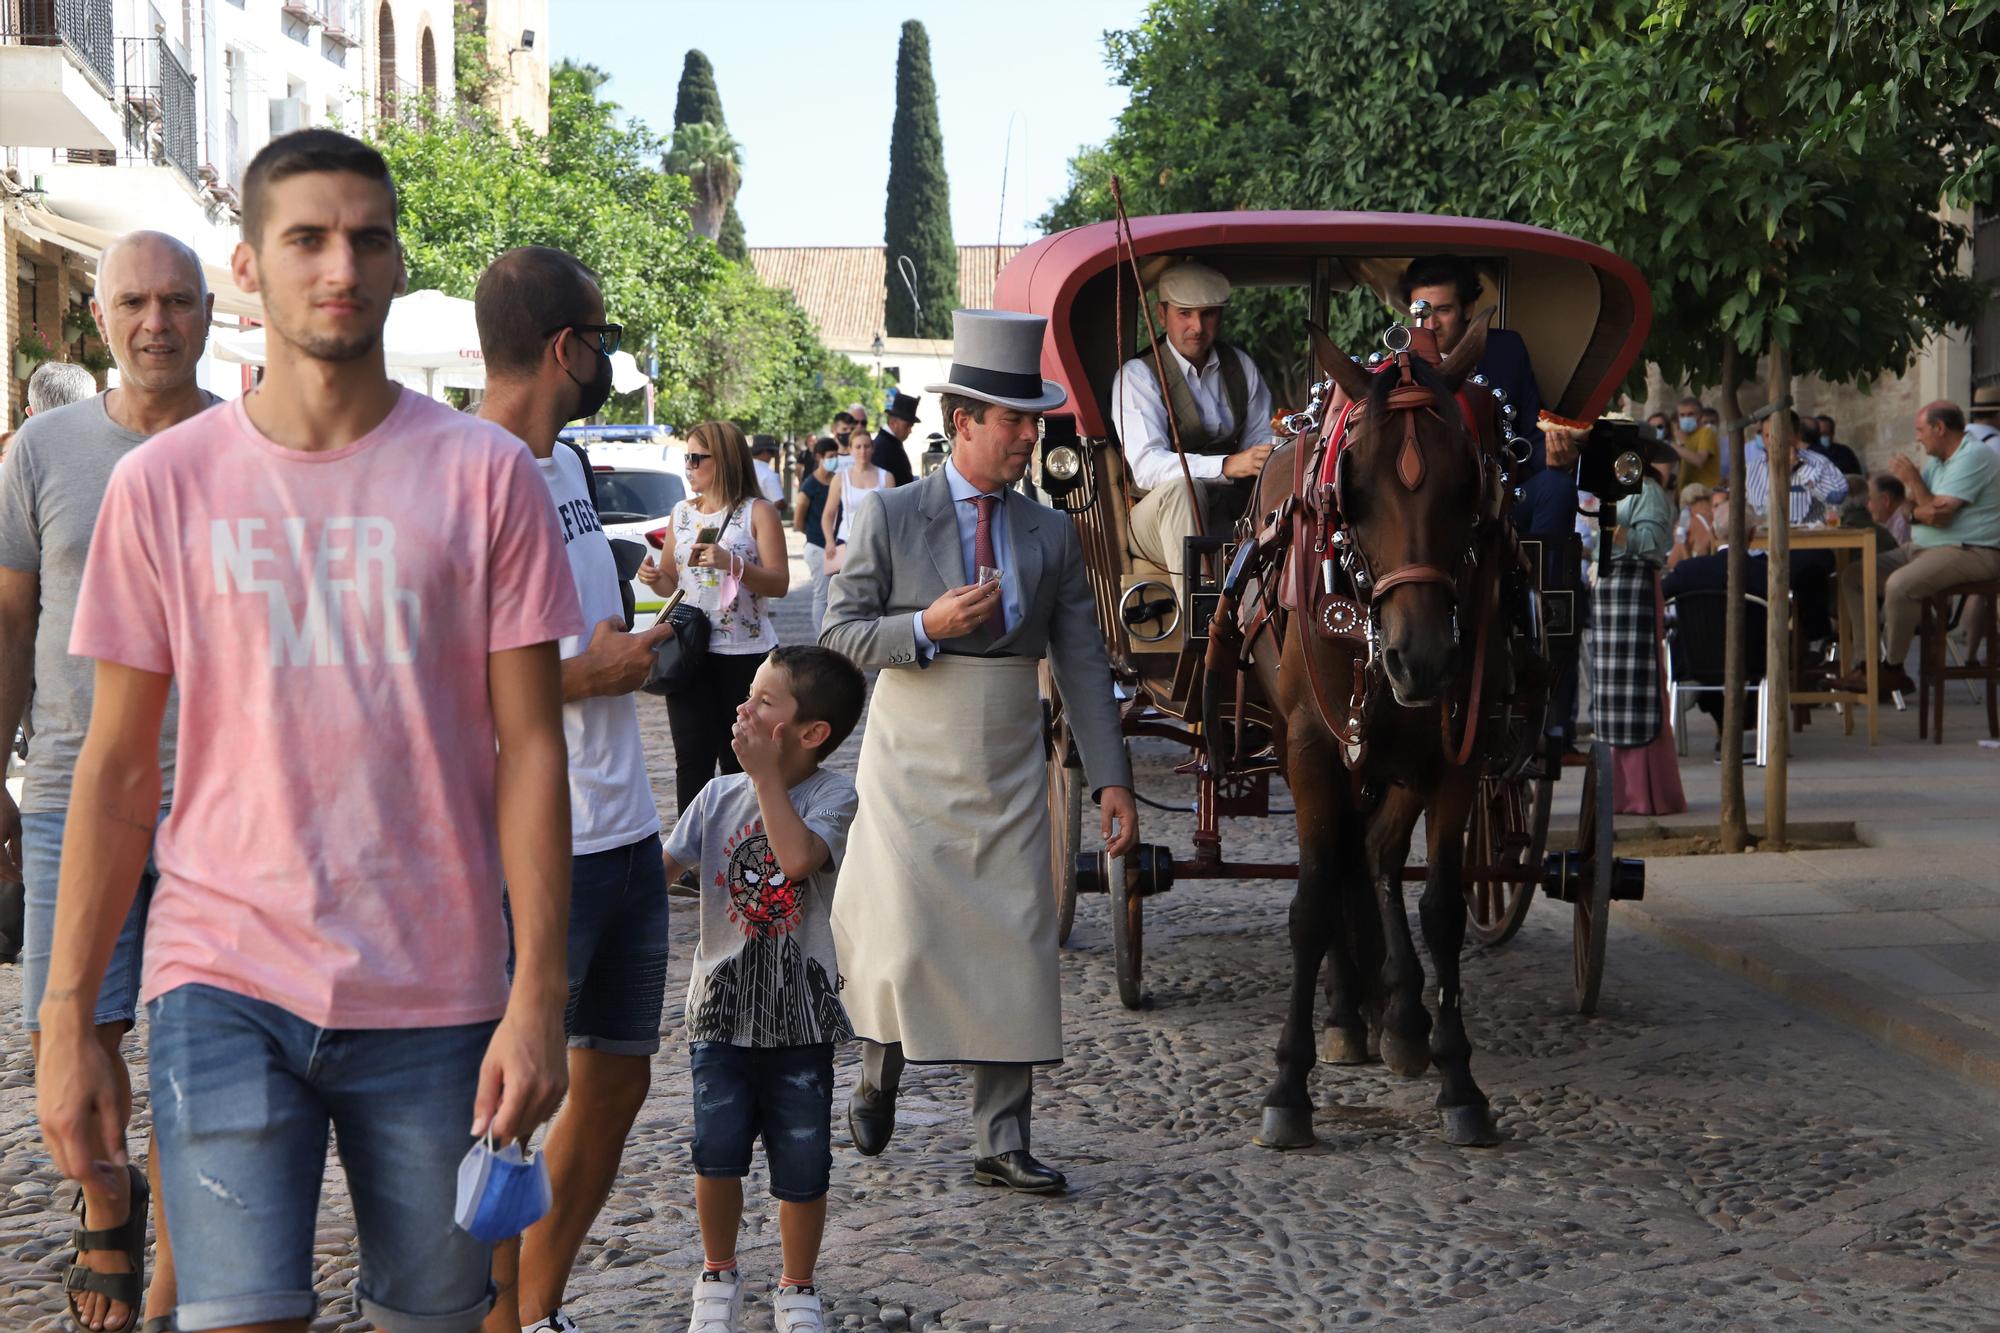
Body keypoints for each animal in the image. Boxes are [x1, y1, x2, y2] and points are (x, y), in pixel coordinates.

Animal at [1216, 308, 1512, 1144]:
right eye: (1358, 486)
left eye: (1466, 481)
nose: (1422, 656)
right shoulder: (1314, 746)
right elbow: (1311, 900)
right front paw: (1288, 1086)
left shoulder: (1457, 750)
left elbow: (1441, 905)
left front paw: (1460, 1079)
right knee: (1343, 859)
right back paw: (1353, 1013)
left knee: (1373, 849)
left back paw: (1398, 1015)